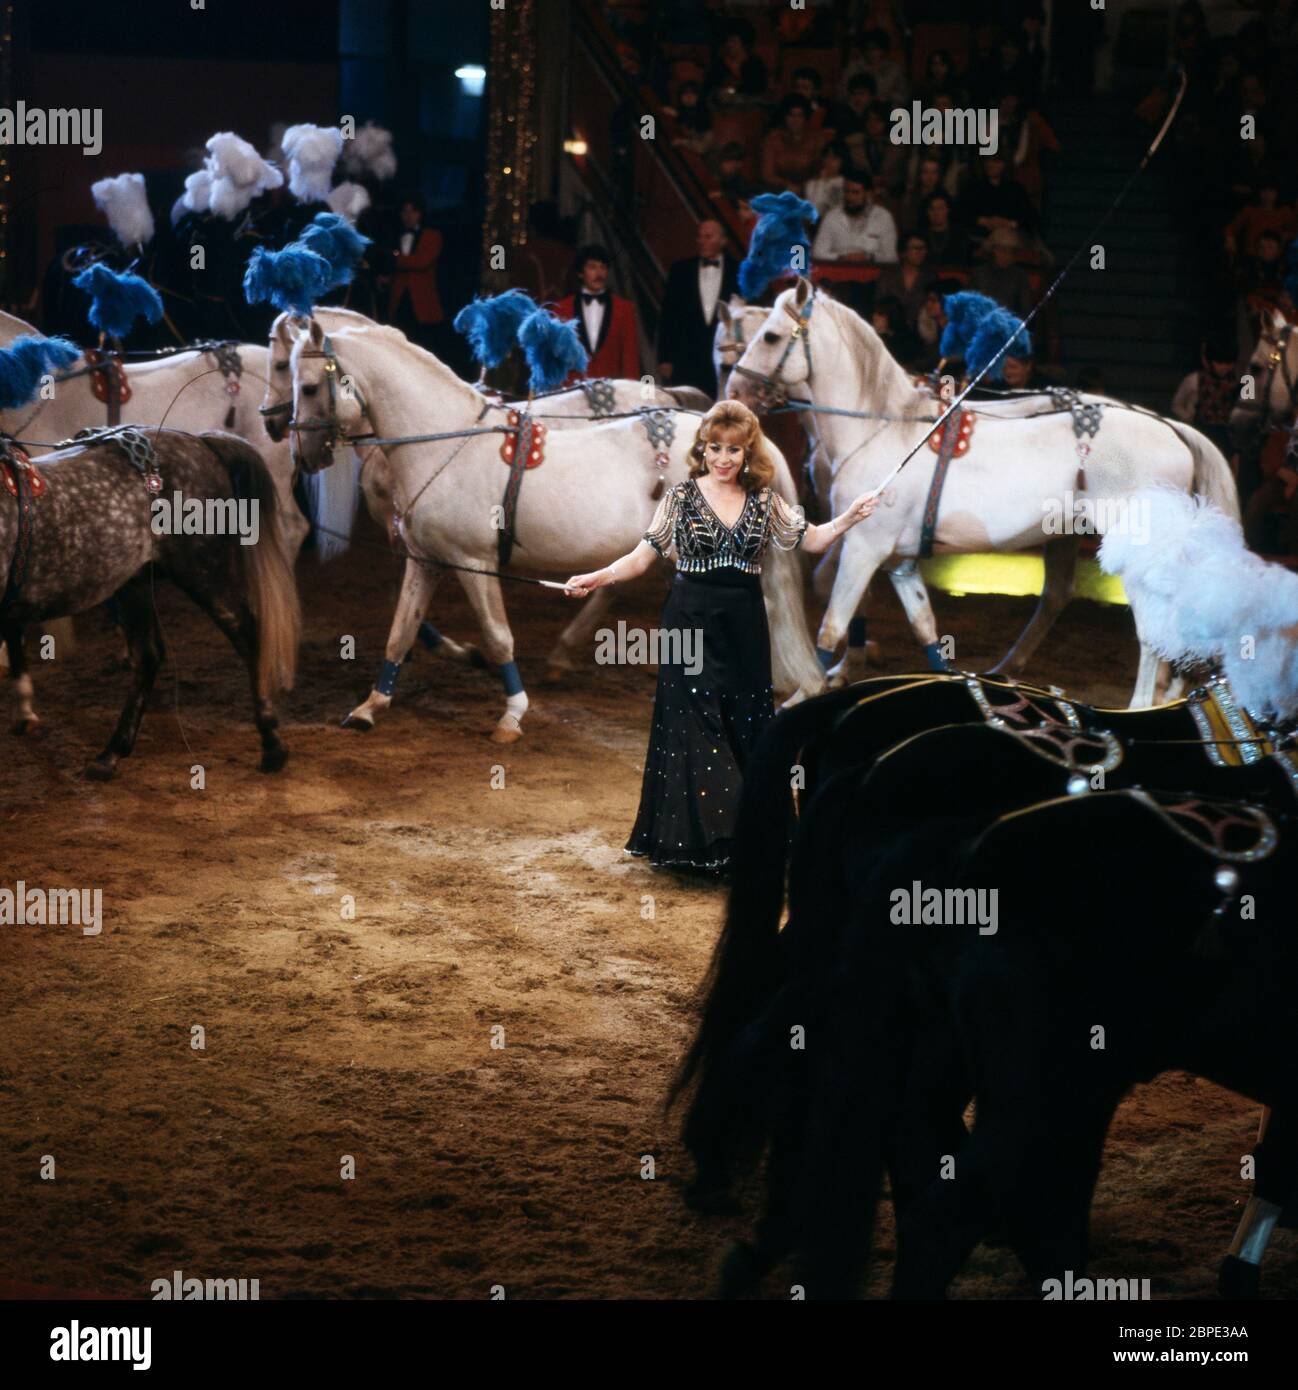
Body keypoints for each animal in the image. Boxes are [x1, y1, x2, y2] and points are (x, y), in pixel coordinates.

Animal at [287, 314, 822, 739]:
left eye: (309, 387)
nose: (302, 455)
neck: (444, 442)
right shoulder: (425, 560)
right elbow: (401, 629)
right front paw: (370, 706)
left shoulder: (471, 560)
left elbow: (497, 635)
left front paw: (512, 714)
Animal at [728, 279, 1245, 706]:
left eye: (770, 336)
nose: (734, 390)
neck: (883, 429)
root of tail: (1173, 429)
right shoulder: (898, 559)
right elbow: (926, 630)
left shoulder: (863, 547)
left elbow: (832, 623)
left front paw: (810, 688)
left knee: (1151, 629)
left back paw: (1141, 702)